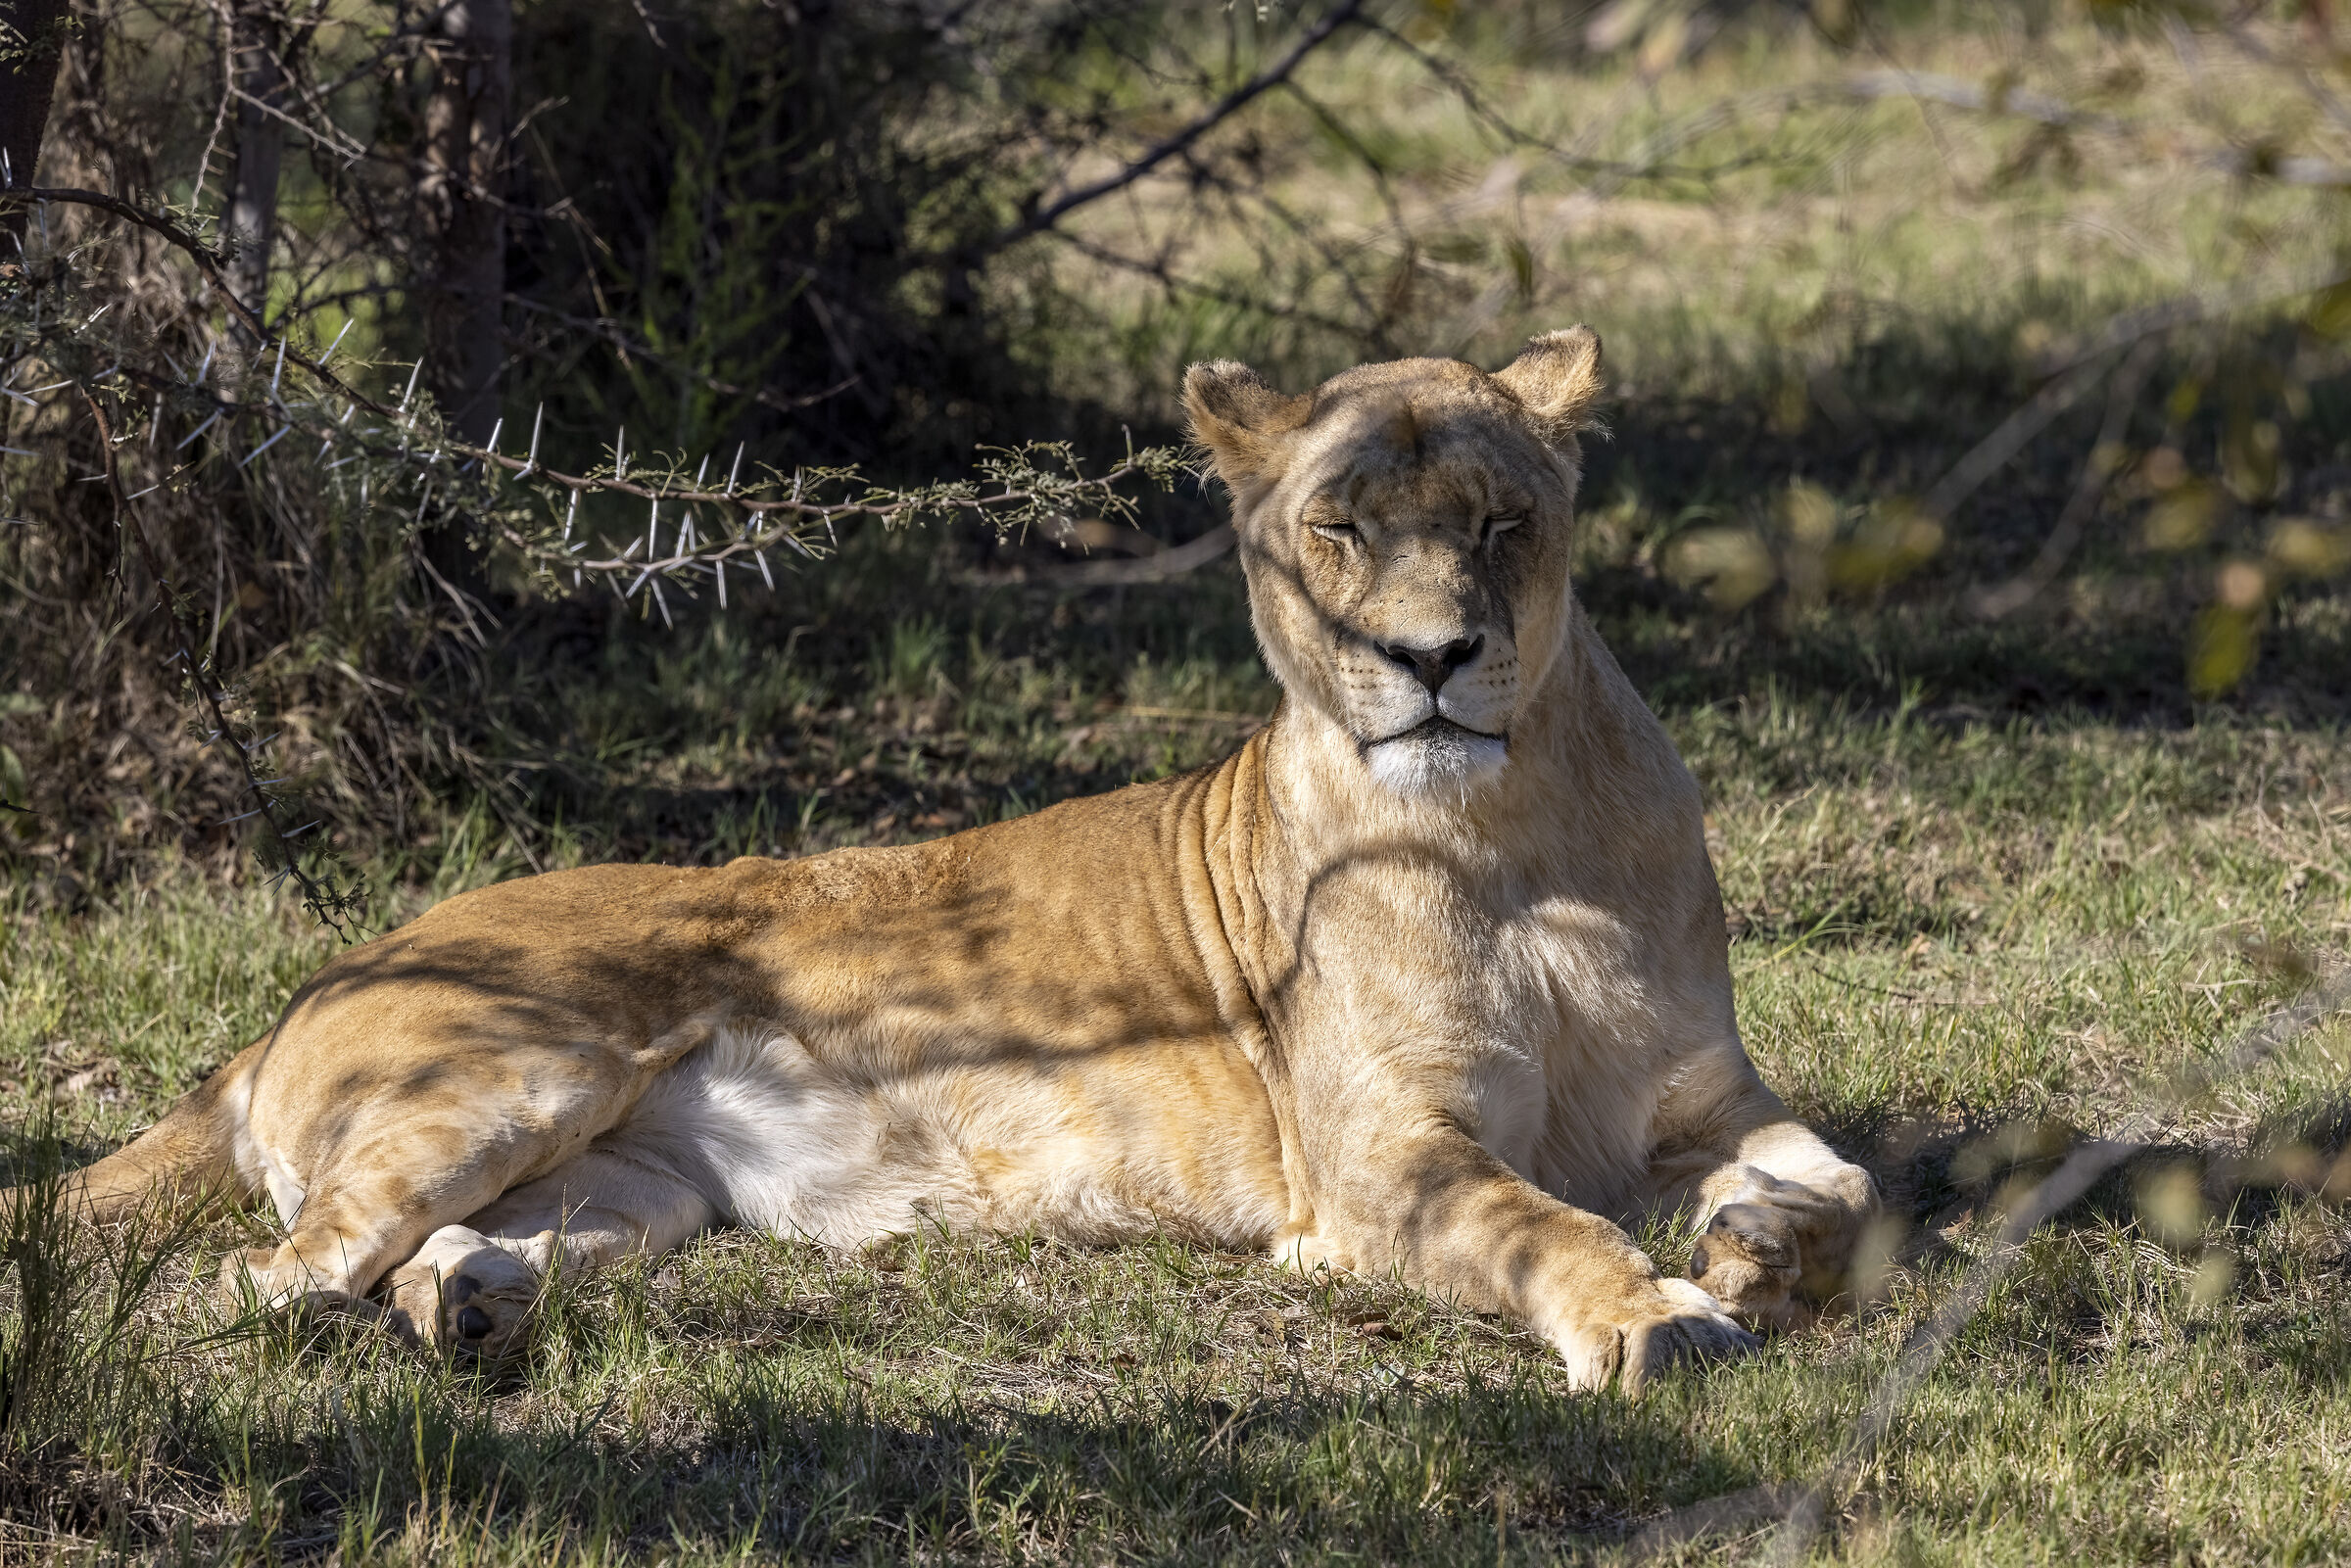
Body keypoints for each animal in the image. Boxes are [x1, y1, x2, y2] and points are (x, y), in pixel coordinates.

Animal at [51, 327, 1876, 1393]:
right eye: (1339, 528)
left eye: (1505, 523)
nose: (1432, 658)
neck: (1514, 833)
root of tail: (303, 992)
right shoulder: (1380, 1164)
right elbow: (1550, 1228)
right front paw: (1656, 1314)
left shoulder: (1702, 1096)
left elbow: (1843, 1181)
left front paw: (1755, 1245)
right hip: (521, 1071)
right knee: (268, 1278)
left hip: (634, 1193)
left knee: (423, 1258)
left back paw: (472, 1314)